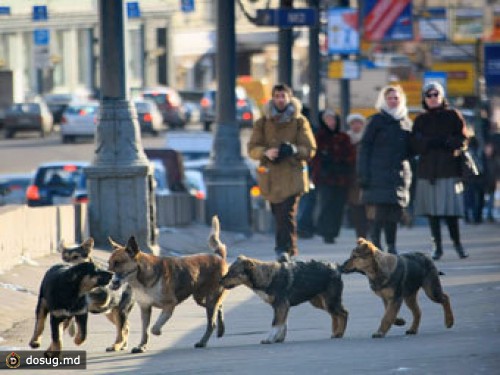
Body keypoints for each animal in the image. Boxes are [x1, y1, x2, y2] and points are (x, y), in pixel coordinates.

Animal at [108, 216, 229, 354]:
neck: (141, 278)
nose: (110, 282)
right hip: (200, 298)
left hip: (209, 299)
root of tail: (218, 257)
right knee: (218, 306)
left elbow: (154, 328)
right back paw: (220, 328)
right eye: (109, 264)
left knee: (211, 322)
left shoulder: (170, 305)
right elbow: (145, 331)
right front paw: (141, 346)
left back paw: (203, 342)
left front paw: (158, 332)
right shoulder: (145, 308)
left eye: (119, 263)